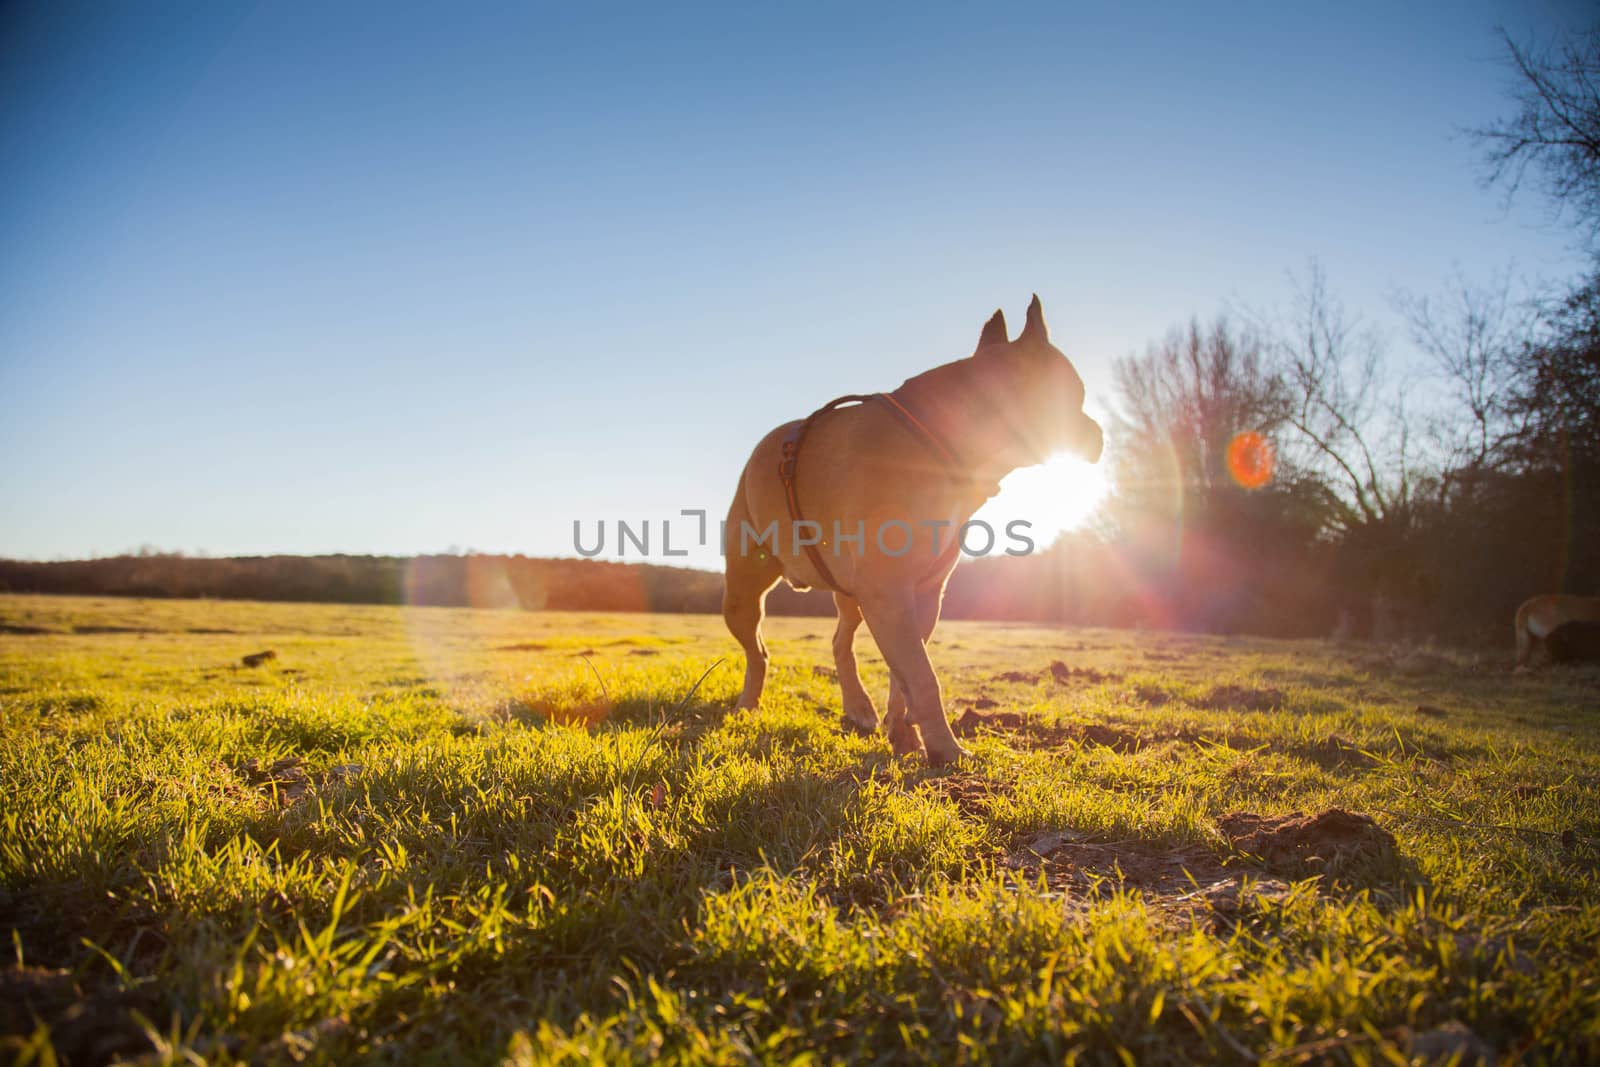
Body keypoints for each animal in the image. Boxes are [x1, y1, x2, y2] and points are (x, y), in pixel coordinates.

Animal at [723, 299, 1100, 767]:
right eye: (1075, 395)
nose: (1099, 433)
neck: (944, 442)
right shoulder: (889, 593)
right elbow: (922, 676)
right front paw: (945, 748)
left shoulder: (919, 597)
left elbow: (904, 677)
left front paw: (906, 736)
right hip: (743, 594)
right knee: (757, 652)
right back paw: (747, 705)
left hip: (850, 595)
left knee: (840, 641)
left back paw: (858, 707)